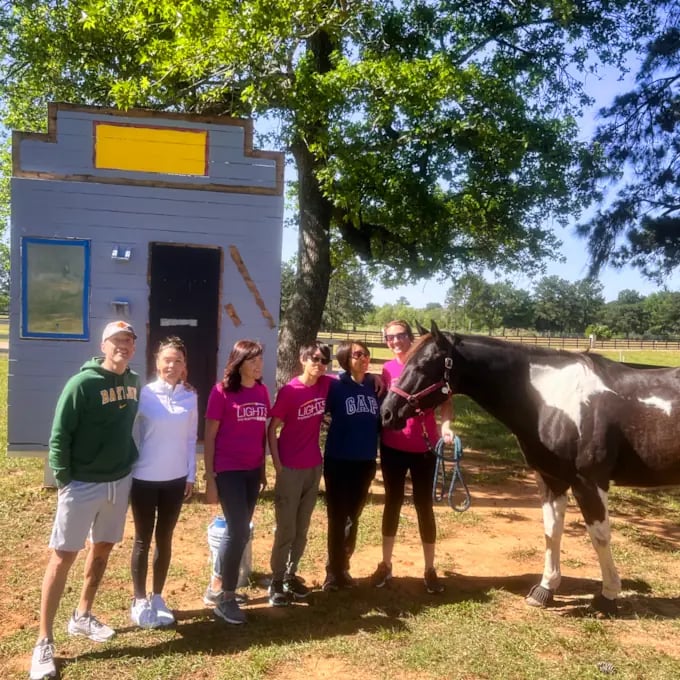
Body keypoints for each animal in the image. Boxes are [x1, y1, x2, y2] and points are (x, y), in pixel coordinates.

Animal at [382, 322, 680, 612]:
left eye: (424, 364)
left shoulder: (590, 482)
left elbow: (600, 536)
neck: (552, 398)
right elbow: (552, 531)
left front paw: (608, 596)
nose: (387, 412)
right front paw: (545, 589)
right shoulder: (551, 479)